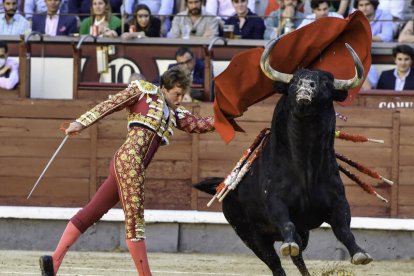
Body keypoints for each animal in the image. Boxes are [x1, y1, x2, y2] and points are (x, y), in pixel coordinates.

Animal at [196, 40, 374, 276]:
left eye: (325, 83)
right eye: (295, 80)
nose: (306, 87)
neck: (305, 162)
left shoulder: (338, 203)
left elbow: (344, 230)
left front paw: (360, 253)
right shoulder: (276, 203)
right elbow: (287, 225)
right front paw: (288, 244)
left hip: (301, 233)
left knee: (299, 256)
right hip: (249, 236)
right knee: (275, 262)